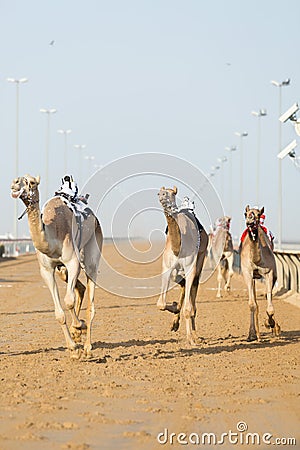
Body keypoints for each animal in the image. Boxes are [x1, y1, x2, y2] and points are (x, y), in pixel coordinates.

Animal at [10, 174, 103, 356]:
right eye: (18, 179)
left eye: (32, 182)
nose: (14, 184)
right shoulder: (47, 270)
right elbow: (59, 313)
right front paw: (72, 346)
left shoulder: (73, 262)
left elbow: (68, 301)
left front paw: (79, 326)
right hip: (62, 270)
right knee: (80, 287)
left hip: (94, 246)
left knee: (91, 298)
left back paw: (87, 346)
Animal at [156, 185, 207, 344]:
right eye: (159, 193)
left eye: (172, 193)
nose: (162, 196)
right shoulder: (167, 269)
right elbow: (160, 304)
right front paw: (174, 307)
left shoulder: (191, 268)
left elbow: (188, 308)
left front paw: (191, 339)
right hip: (176, 272)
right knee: (184, 287)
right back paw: (175, 320)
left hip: (200, 260)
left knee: (193, 293)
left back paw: (196, 335)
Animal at [240, 205, 280, 342]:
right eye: (245, 213)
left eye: (258, 214)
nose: (250, 222)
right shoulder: (247, 273)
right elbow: (252, 305)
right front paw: (254, 335)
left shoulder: (270, 273)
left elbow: (270, 307)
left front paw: (271, 324)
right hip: (252, 278)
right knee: (255, 303)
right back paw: (253, 334)